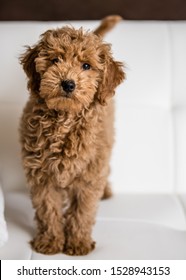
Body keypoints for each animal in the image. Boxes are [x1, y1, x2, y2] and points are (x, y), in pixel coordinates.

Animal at [19, 15, 125, 256]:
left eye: (86, 66)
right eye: (55, 60)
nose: (68, 83)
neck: (64, 119)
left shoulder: (89, 174)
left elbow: (82, 211)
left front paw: (77, 242)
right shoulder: (42, 174)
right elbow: (48, 209)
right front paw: (50, 241)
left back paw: (106, 191)